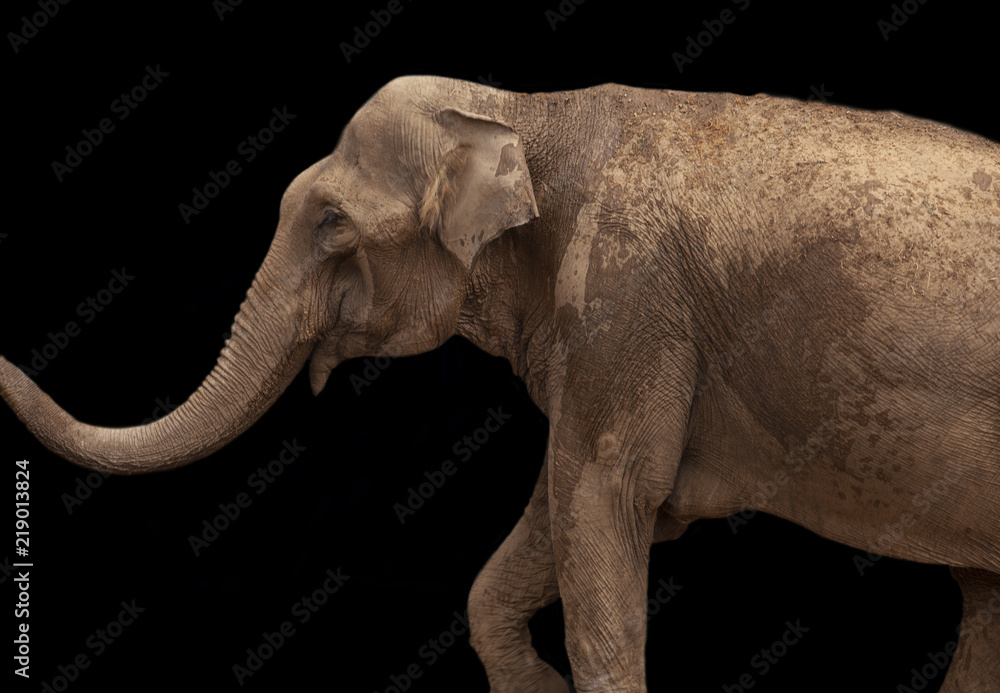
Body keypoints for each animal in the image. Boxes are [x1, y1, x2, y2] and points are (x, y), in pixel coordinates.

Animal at [1, 75, 998, 692]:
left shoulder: (625, 298)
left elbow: (601, 493)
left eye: (330, 223)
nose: (7, 359)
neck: (523, 111)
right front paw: (539, 686)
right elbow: (562, 518)